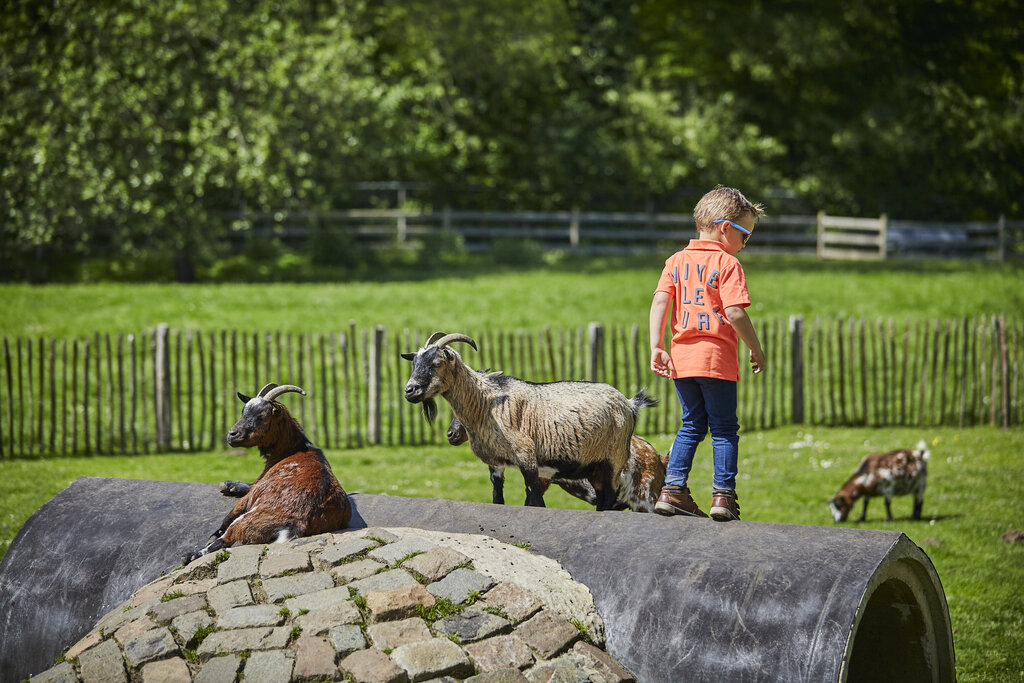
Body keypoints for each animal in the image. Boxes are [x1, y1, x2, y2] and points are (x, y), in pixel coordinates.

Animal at [186, 382, 354, 565]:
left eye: (262, 415)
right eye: (243, 411)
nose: (232, 435)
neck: (294, 450)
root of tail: (297, 524)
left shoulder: (252, 494)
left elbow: (230, 514)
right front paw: (230, 485)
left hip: (248, 519)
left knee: (224, 540)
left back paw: (191, 555)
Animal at [401, 333, 655, 509]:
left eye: (437, 363)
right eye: (414, 363)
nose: (409, 391)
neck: (487, 403)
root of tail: (630, 403)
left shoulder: (528, 458)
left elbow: (535, 501)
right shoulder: (496, 464)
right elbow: (498, 498)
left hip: (613, 459)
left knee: (609, 498)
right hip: (593, 467)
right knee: (603, 498)